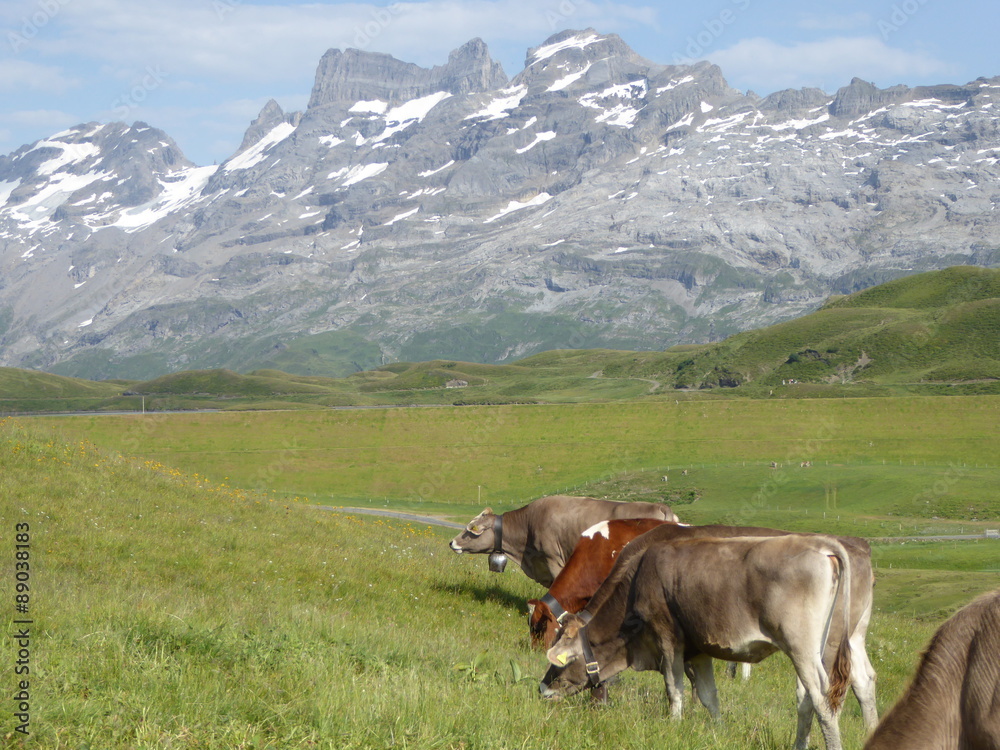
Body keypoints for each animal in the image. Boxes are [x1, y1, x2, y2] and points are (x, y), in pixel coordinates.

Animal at [528, 524, 880, 736]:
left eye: (557, 660)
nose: (542, 689)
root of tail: (839, 545)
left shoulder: (668, 637)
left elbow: (676, 688)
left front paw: (675, 725)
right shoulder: (697, 646)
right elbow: (708, 694)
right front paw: (718, 730)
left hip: (813, 646)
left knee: (822, 696)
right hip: (851, 638)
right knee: (861, 682)